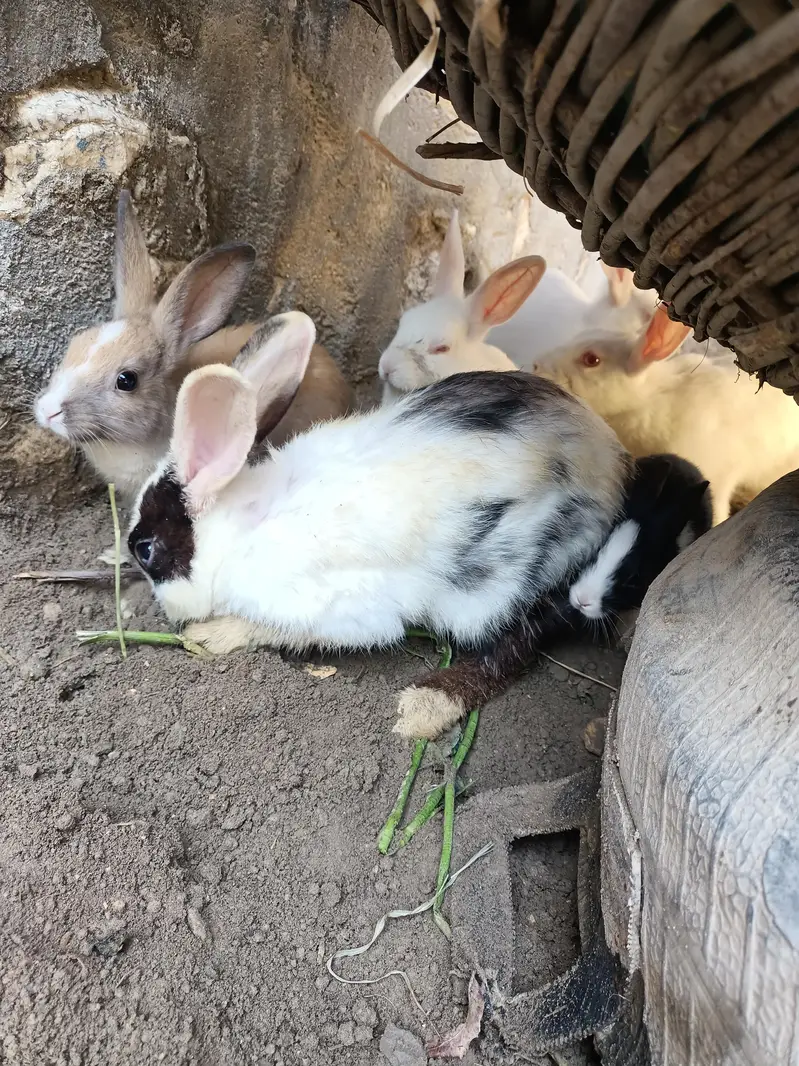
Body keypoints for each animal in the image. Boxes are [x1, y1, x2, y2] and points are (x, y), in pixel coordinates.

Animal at [126, 312, 629, 739]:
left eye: (146, 549)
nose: (165, 610)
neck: (242, 530)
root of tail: (610, 469)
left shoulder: (336, 607)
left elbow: (275, 627)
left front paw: (209, 635)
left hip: (502, 582)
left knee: (527, 634)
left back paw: (424, 707)